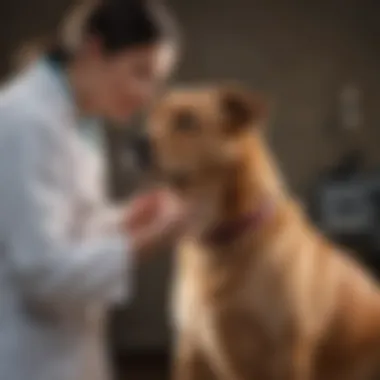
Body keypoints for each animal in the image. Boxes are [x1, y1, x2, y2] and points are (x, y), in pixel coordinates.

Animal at [147, 84, 380, 380]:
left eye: (187, 121)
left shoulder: (286, 355)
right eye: (152, 118)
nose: (135, 143)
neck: (224, 241)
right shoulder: (190, 351)